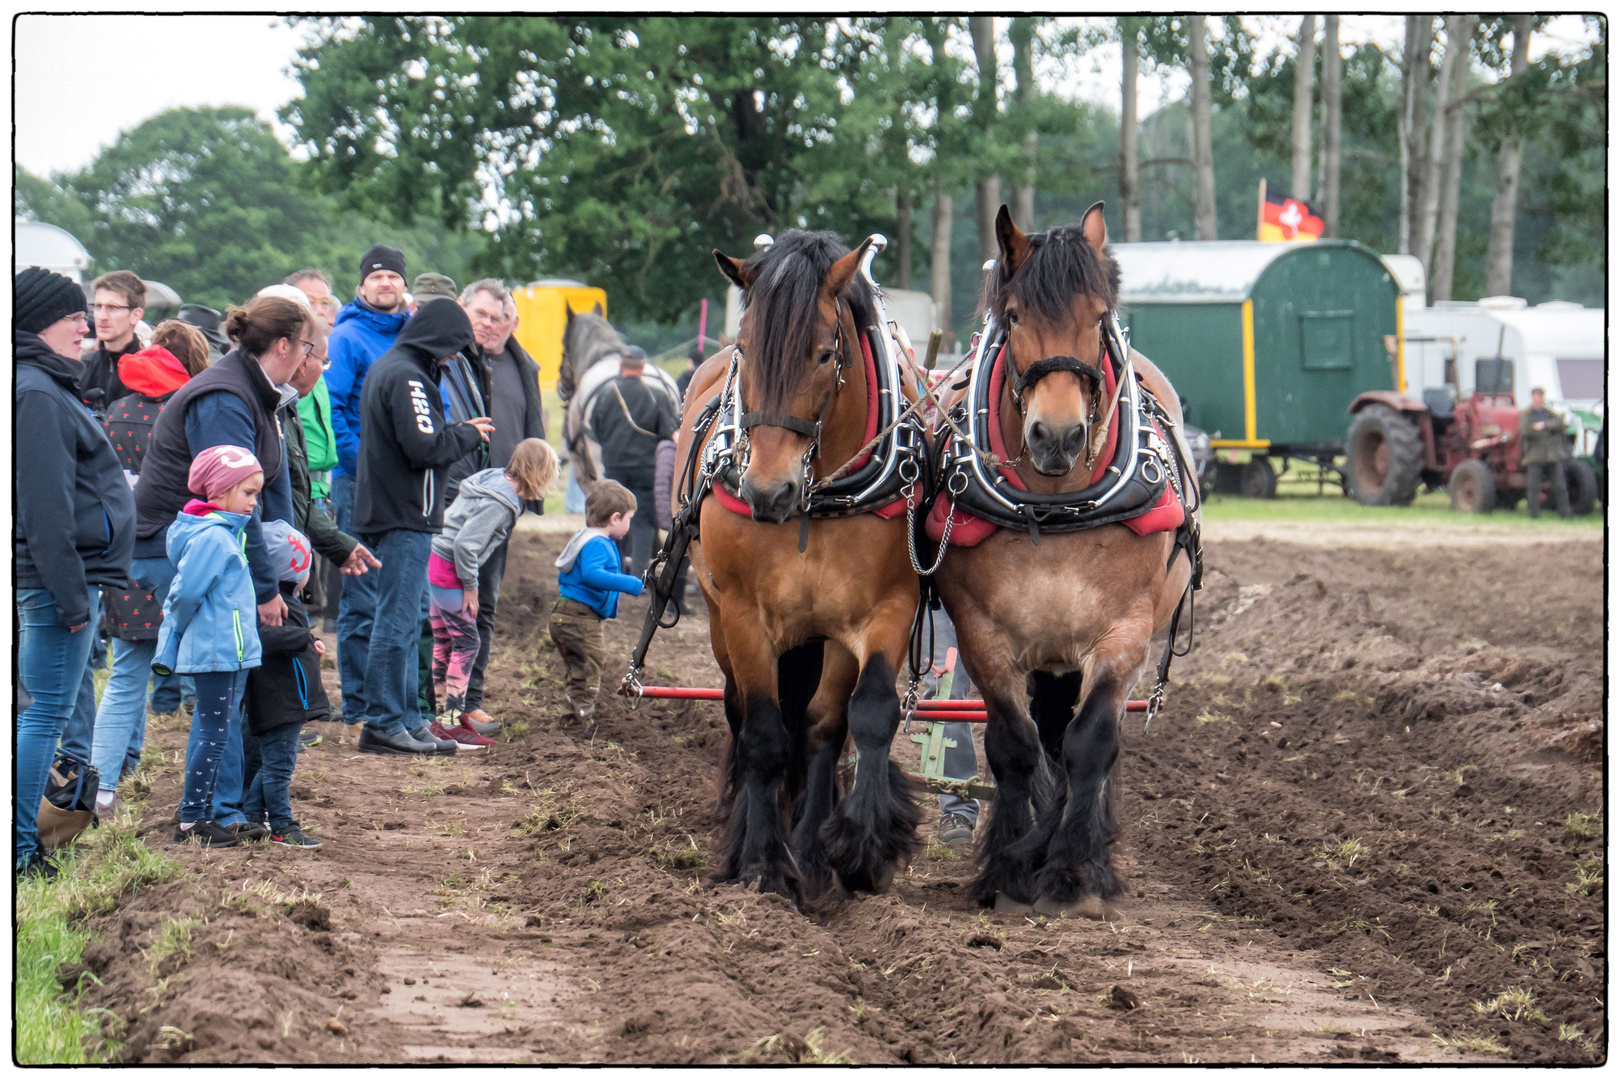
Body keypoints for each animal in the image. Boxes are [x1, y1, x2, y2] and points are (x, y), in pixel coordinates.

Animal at [670, 229, 926, 906]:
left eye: (822, 354)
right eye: (746, 350)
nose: (767, 491)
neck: (814, 502)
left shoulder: (880, 611)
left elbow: (850, 720)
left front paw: (845, 850)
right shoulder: (744, 614)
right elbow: (762, 735)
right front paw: (762, 863)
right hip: (718, 619)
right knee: (739, 710)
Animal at [939, 204, 1205, 919]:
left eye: (1097, 317)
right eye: (1013, 316)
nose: (1056, 437)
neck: (1055, 506)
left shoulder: (1125, 632)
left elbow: (1090, 745)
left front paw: (1070, 874)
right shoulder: (982, 632)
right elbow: (1014, 746)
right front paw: (1009, 868)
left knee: (1073, 737)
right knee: (1045, 734)